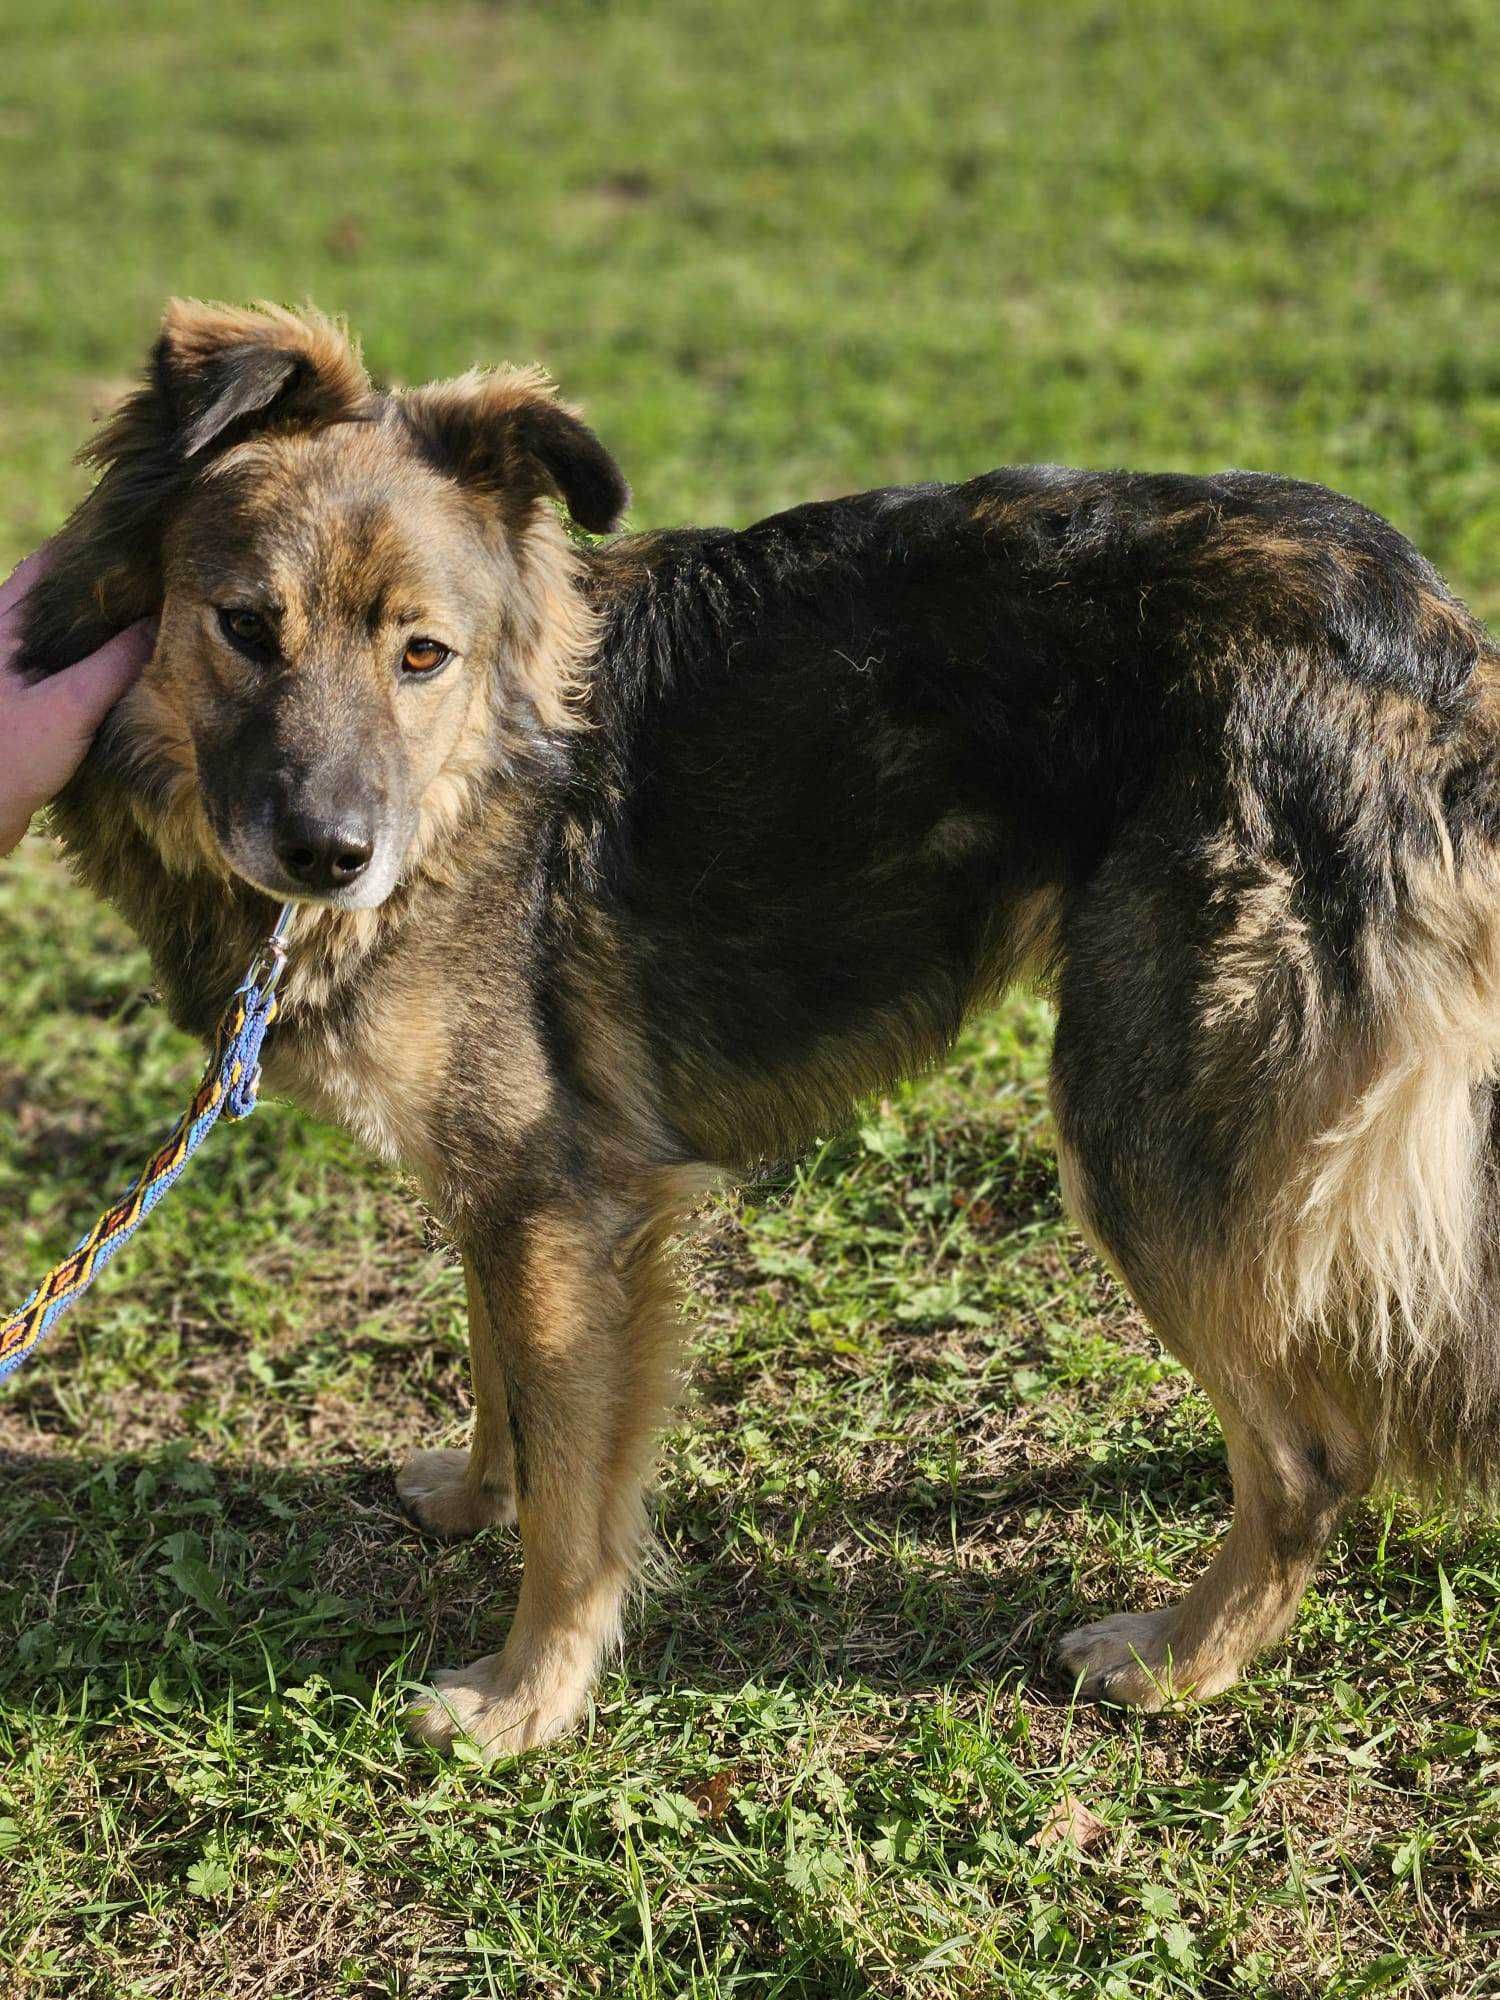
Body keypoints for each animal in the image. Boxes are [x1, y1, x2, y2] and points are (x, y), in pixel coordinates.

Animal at [14, 292, 1500, 1752]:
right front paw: (477, 1495)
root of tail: (1434, 654)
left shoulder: (569, 1201)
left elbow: (574, 1483)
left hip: (1139, 1122)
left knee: (1313, 1450)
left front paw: (527, 1696)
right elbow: (506, 1379)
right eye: (244, 626)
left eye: (421, 655)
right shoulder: (511, 1176)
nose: (332, 855)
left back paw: (1179, 1656)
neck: (475, 772)